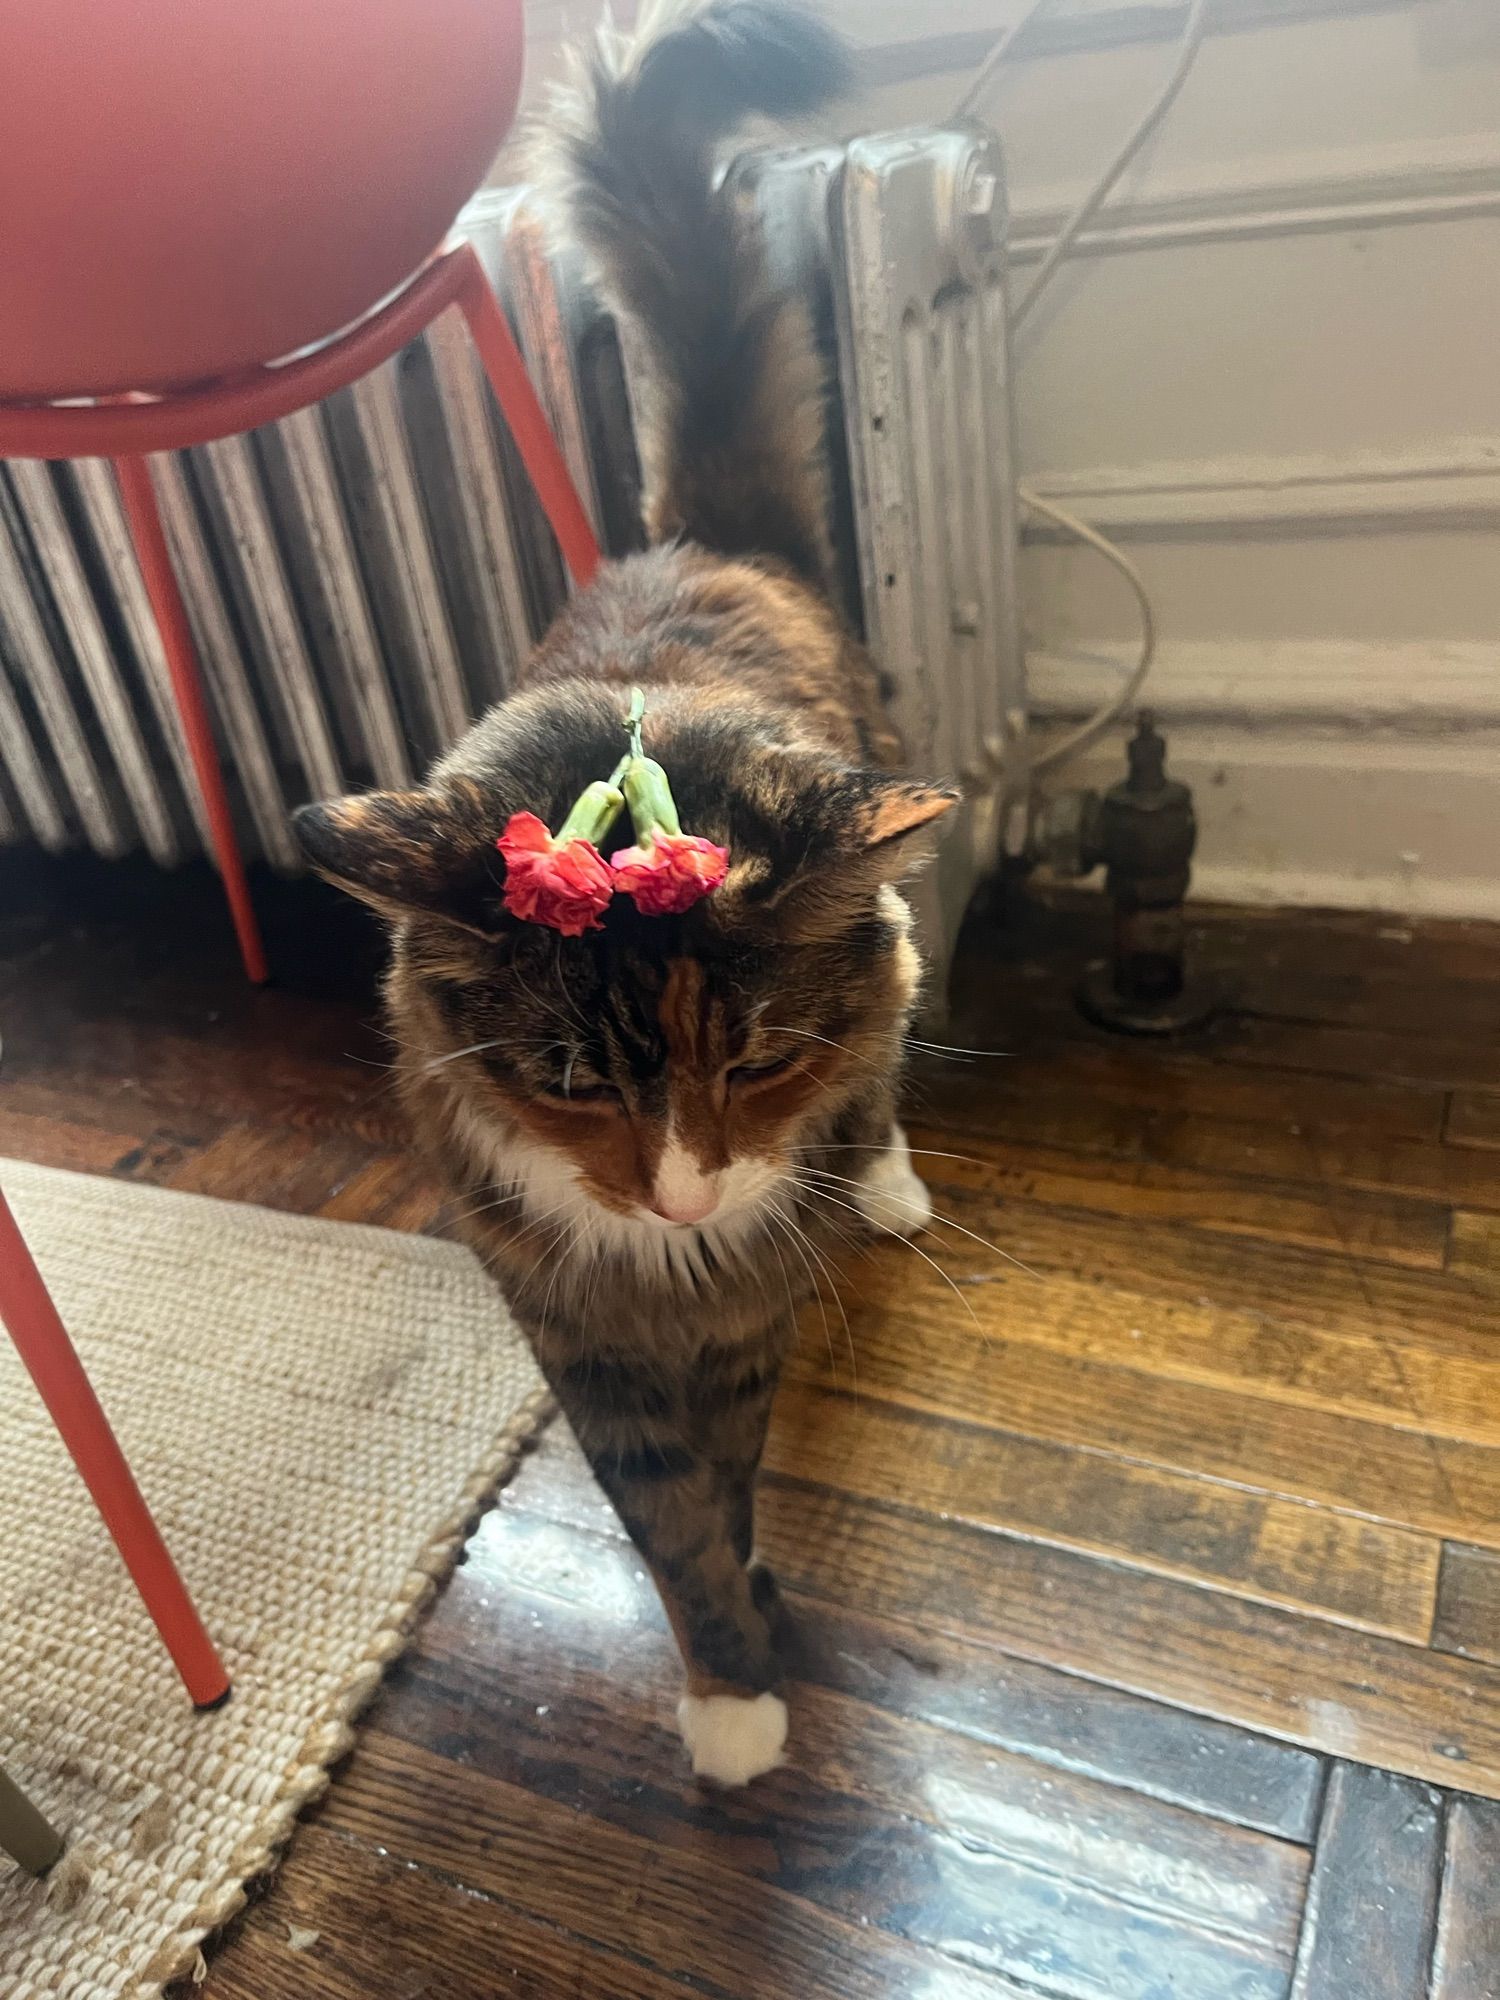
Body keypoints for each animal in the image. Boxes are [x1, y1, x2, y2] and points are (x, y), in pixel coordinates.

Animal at [294, 0, 952, 1784]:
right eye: (574, 1083)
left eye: (760, 1059)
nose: (681, 1201)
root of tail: (705, 538)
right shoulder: (574, 1330)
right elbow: (665, 1521)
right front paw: (729, 1691)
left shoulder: (736, 1319)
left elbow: (721, 1481)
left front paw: (748, 1654)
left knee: (897, 1052)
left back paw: (886, 1186)